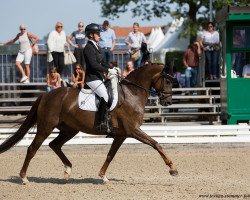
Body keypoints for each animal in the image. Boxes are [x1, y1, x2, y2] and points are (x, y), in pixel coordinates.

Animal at [0, 63, 178, 184]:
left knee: (55, 145)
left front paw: (103, 177)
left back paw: (68, 170)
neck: (131, 93)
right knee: (32, 149)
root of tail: (46, 95)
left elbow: (110, 155)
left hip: (69, 129)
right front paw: (172, 168)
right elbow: (156, 144)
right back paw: (24, 178)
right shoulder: (133, 130)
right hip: (46, 127)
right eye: (168, 82)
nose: (168, 102)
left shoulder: (121, 134)